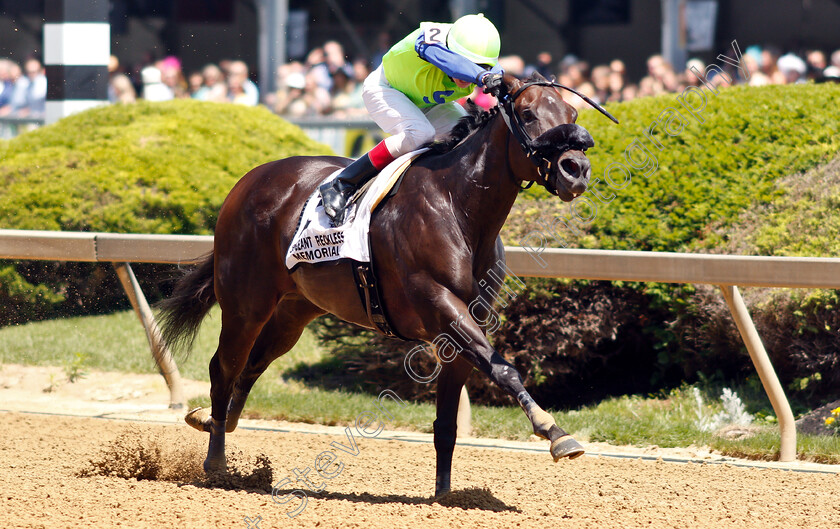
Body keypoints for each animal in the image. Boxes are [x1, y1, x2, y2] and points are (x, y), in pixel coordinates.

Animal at [159, 73, 616, 496]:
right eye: (527, 114)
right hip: (245, 302)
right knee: (224, 367)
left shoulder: (465, 325)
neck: (459, 207)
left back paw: (214, 421)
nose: (576, 169)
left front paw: (443, 494)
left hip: (295, 311)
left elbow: (448, 419)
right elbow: (503, 369)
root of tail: (248, 181)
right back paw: (216, 460)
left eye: (573, 114)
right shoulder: (441, 306)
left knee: (251, 366)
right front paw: (555, 433)